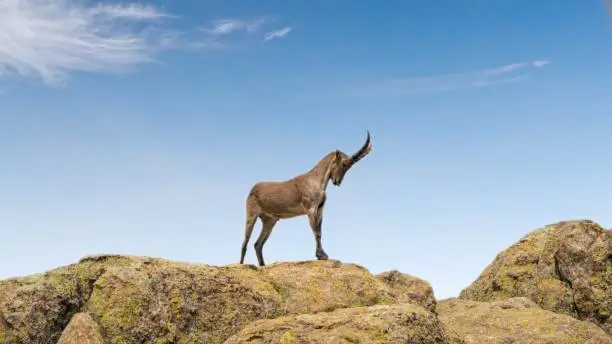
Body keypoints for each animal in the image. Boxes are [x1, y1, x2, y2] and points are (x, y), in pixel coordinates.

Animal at [240, 132, 372, 266]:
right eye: (344, 163)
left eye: (349, 165)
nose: (337, 181)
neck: (315, 180)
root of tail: (253, 189)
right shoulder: (310, 209)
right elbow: (316, 232)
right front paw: (321, 255)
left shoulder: (320, 209)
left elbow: (320, 232)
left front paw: (321, 255)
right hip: (251, 214)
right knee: (245, 241)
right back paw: (241, 264)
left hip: (270, 221)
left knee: (258, 244)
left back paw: (262, 265)